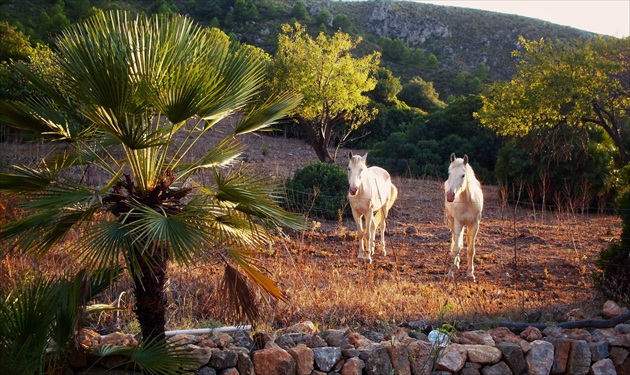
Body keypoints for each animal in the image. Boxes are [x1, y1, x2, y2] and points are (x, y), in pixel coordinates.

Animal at [446, 153, 486, 282]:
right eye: (449, 173)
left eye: (463, 175)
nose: (450, 195)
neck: (468, 202)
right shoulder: (458, 223)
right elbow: (457, 248)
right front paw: (450, 273)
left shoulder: (474, 224)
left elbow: (471, 249)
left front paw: (470, 274)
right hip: (452, 221)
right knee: (456, 241)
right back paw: (456, 264)